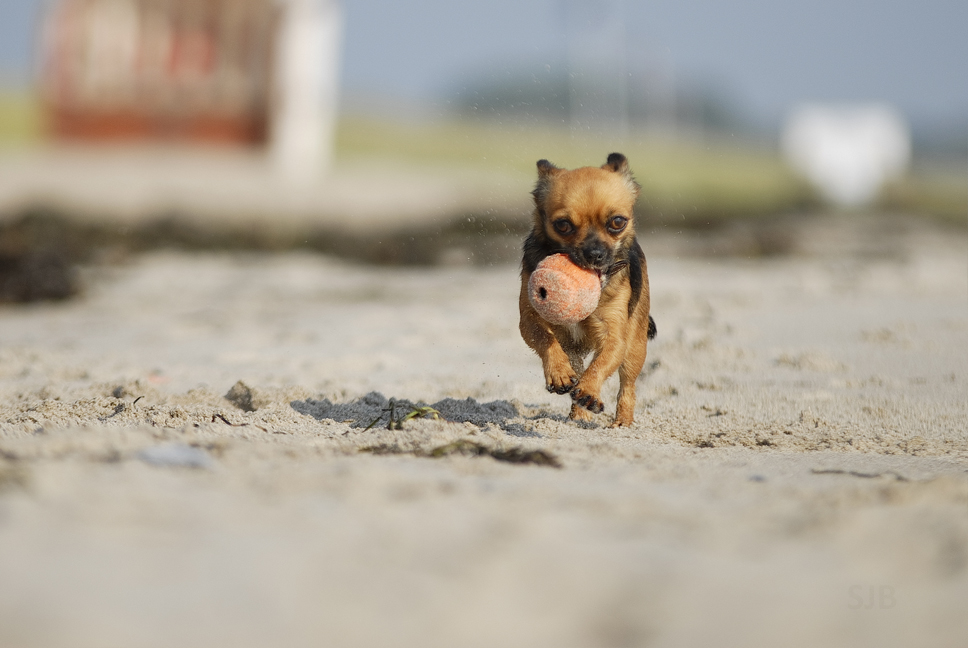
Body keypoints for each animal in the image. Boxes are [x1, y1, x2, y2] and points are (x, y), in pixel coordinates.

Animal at [520, 151, 656, 426]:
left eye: (617, 222)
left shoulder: (614, 336)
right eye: (563, 225)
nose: (594, 253)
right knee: (577, 366)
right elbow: (545, 337)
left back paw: (621, 423)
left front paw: (589, 390)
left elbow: (601, 363)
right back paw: (578, 413)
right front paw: (559, 372)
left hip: (635, 348)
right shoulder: (528, 320)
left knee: (627, 387)